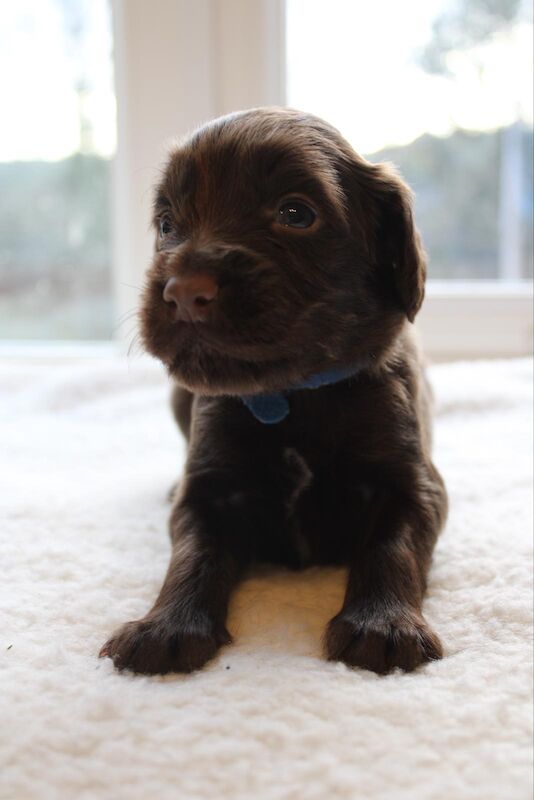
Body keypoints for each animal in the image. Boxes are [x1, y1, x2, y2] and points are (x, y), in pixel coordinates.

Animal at [99, 106, 448, 676]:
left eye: (296, 213)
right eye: (167, 224)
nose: (182, 292)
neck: (291, 392)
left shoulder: (413, 483)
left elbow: (391, 546)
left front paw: (382, 626)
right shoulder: (210, 487)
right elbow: (192, 553)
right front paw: (165, 628)